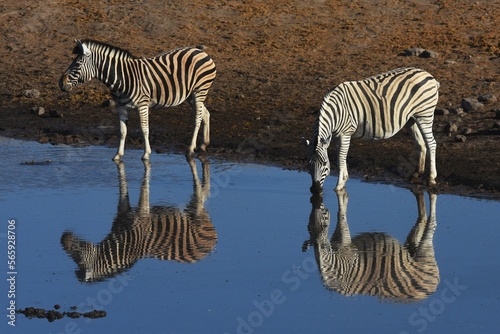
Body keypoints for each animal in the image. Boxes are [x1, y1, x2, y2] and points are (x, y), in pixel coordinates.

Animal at [59, 39, 217, 160]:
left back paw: (190, 150)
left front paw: (146, 154)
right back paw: (204, 144)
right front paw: (118, 155)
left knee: (197, 118)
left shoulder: (142, 105)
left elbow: (144, 129)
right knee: (205, 113)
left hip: (199, 91)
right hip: (190, 95)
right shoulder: (121, 106)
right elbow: (122, 131)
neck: (122, 78)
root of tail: (198, 50)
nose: (60, 83)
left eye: (77, 64)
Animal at [59, 158, 216, 284]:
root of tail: (210, 247)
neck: (125, 241)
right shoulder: (122, 213)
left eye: (78, 257)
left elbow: (144, 190)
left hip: (196, 212)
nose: (62, 239)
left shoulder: (140, 216)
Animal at [302, 67, 440, 193]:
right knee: (421, 144)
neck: (336, 112)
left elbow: (341, 158)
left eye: (325, 164)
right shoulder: (336, 136)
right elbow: (340, 157)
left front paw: (339, 186)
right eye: (308, 164)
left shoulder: (345, 133)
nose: (315, 190)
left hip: (425, 114)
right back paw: (416, 174)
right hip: (412, 118)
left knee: (431, 143)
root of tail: (428, 75)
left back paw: (431, 179)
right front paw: (345, 178)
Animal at [302, 189, 440, 302]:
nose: (320, 203)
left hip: (425, 253)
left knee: (432, 224)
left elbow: (341, 216)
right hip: (412, 250)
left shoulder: (347, 247)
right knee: (420, 223)